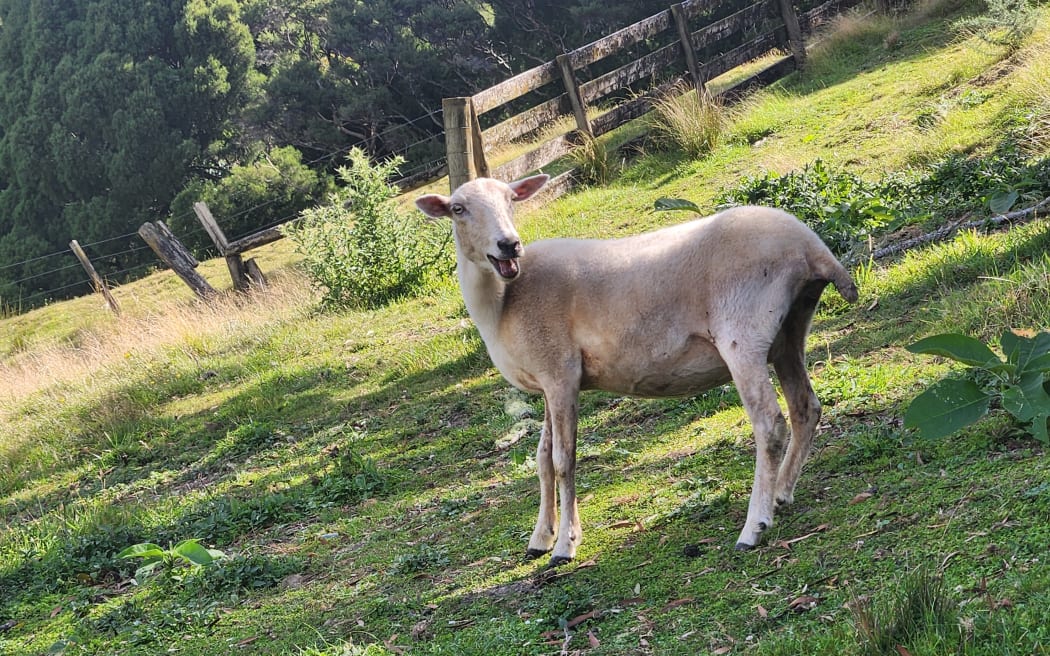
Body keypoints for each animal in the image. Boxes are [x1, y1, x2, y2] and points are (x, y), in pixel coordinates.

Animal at [415, 174, 858, 567]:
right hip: (789, 331)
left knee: (770, 423)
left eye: (511, 200)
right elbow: (542, 460)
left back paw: (754, 526)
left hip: (743, 334)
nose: (509, 245)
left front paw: (565, 546)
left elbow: (563, 460)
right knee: (805, 408)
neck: (503, 301)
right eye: (458, 209)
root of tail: (810, 245)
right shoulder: (549, 380)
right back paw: (781, 494)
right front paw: (542, 537)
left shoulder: (560, 374)